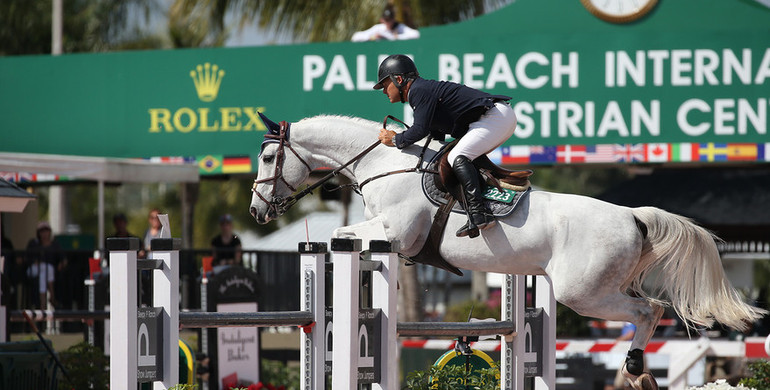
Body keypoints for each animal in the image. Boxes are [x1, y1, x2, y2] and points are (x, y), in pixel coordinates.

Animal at [248, 111, 760, 388]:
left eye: (270, 157)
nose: (256, 210)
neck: (384, 164)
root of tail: (632, 214)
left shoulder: (396, 234)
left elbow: (347, 234)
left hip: (584, 293)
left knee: (649, 310)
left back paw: (636, 369)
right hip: (597, 285)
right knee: (648, 309)